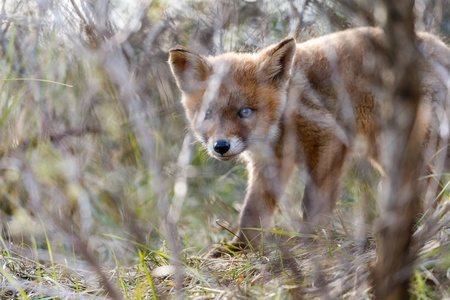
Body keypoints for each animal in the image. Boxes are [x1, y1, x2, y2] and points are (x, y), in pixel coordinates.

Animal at [169, 27, 450, 253]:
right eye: (208, 114)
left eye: (245, 112)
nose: (221, 146)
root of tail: (437, 44)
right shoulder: (270, 163)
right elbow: (252, 210)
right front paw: (240, 247)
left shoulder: (326, 140)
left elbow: (313, 203)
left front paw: (309, 238)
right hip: (384, 149)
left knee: (433, 182)